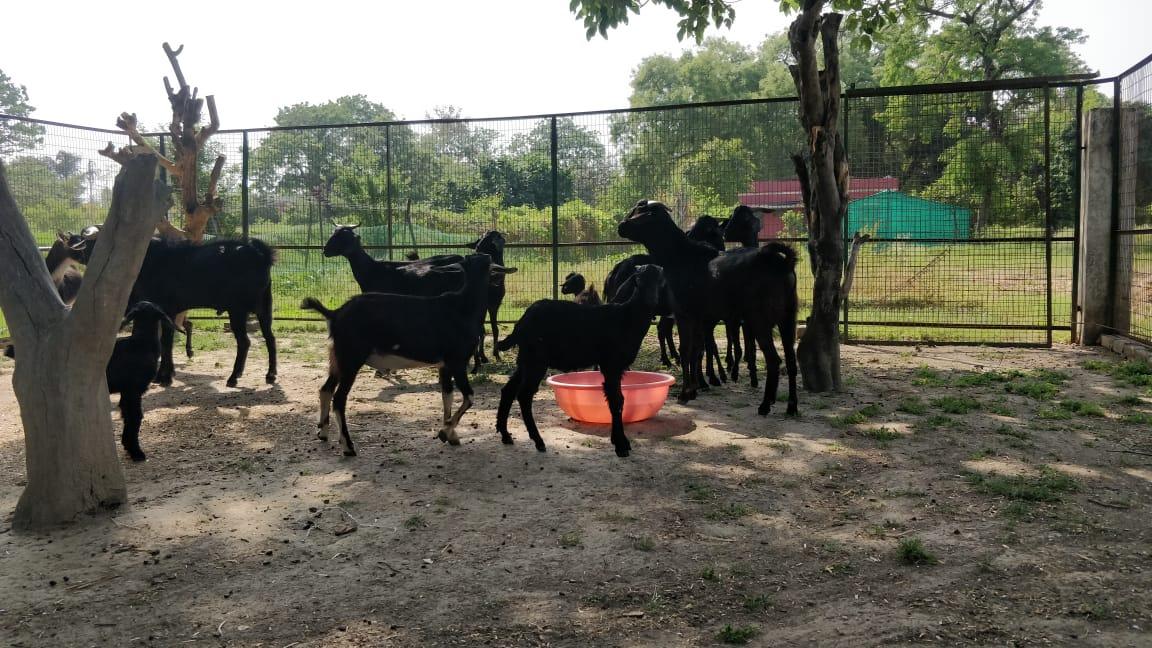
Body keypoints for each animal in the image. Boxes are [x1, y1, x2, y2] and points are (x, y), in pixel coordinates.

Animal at [4, 301, 176, 461]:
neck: (141, 342)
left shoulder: (126, 391)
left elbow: (127, 415)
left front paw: (129, 446)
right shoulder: (134, 389)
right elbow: (135, 417)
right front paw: (137, 453)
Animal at [76, 227, 277, 387]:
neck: (150, 259)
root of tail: (261, 255)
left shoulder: (166, 310)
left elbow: (166, 342)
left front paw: (164, 377)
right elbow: (167, 342)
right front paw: (165, 374)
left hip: (238, 309)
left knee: (244, 342)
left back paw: (234, 377)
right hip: (264, 307)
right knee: (270, 338)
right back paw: (270, 374)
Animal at [302, 254, 503, 456]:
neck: (464, 306)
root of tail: (335, 314)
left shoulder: (444, 365)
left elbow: (447, 396)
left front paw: (451, 435)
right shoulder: (457, 361)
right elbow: (469, 397)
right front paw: (444, 432)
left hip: (338, 359)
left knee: (325, 389)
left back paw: (323, 433)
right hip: (351, 359)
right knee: (339, 399)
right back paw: (348, 447)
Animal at [495, 264, 664, 458]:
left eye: (659, 280)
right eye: (639, 280)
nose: (651, 301)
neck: (628, 317)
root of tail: (521, 323)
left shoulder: (617, 367)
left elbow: (619, 400)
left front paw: (622, 442)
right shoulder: (611, 364)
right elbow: (616, 401)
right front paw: (621, 445)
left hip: (525, 359)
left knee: (508, 390)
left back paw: (505, 435)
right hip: (536, 359)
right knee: (524, 395)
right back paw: (538, 441)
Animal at [618, 200, 799, 415]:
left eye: (644, 215)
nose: (621, 226)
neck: (679, 257)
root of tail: (783, 263)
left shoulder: (684, 314)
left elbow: (687, 350)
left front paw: (685, 394)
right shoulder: (700, 317)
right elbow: (698, 350)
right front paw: (695, 388)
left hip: (759, 318)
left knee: (773, 359)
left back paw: (764, 405)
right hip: (788, 317)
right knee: (791, 361)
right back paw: (791, 406)